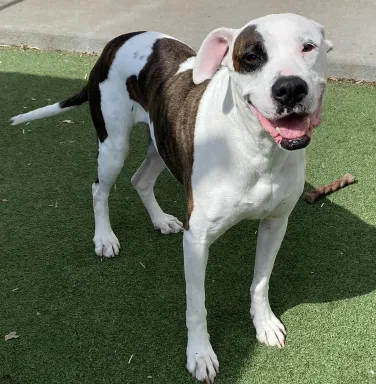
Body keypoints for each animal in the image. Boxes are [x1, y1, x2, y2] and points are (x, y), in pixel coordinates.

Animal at [11, 12, 332, 384]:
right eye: (252, 56)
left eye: (307, 47)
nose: (290, 87)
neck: (256, 148)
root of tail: (116, 41)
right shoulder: (197, 241)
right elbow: (196, 304)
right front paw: (200, 354)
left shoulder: (275, 223)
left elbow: (260, 282)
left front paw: (264, 323)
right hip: (113, 145)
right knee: (99, 189)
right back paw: (104, 237)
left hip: (161, 143)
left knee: (140, 180)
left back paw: (160, 219)